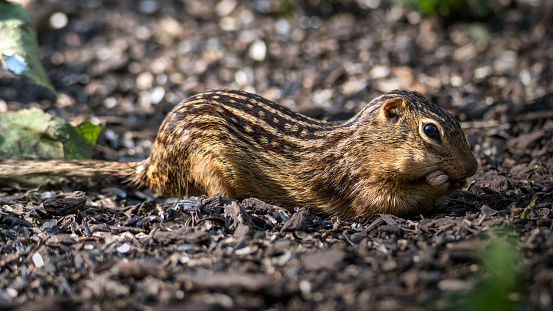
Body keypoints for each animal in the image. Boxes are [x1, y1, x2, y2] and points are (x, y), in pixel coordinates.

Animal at [0, 89, 474, 219]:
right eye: (431, 131)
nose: (473, 168)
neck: (362, 144)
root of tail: (152, 166)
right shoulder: (356, 182)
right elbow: (386, 202)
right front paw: (441, 181)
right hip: (209, 165)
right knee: (218, 196)